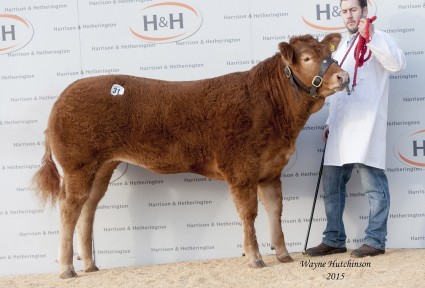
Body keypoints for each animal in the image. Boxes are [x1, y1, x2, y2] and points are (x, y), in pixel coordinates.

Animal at [34, 32, 348, 278]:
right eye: (306, 58)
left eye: (328, 54)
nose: (343, 76)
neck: (272, 107)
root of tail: (64, 96)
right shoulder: (241, 169)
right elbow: (249, 214)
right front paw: (255, 258)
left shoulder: (271, 170)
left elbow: (275, 210)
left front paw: (283, 254)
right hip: (78, 165)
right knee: (69, 208)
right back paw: (67, 268)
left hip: (102, 166)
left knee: (88, 208)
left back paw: (89, 264)